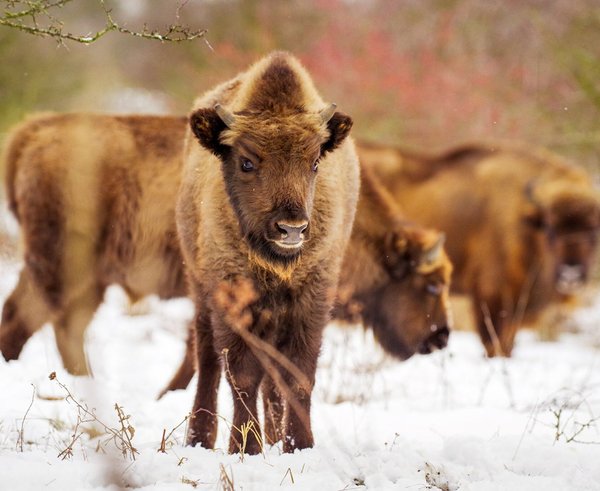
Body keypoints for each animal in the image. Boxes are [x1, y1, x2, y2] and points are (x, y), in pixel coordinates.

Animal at [360, 141, 600, 358]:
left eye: (594, 229)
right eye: (550, 228)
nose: (571, 274)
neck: (524, 220)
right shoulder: (491, 297)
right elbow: (494, 344)